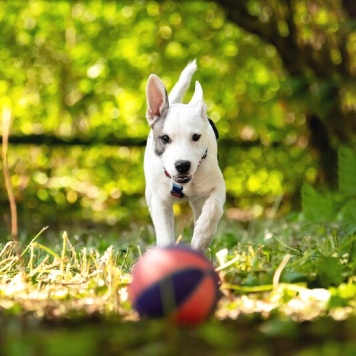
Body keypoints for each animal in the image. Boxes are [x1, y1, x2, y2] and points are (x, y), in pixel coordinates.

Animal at [143, 60, 224, 250]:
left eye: (195, 137)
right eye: (165, 138)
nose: (182, 165)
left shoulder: (217, 185)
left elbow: (213, 209)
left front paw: (201, 236)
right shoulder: (160, 202)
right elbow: (165, 234)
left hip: (198, 200)